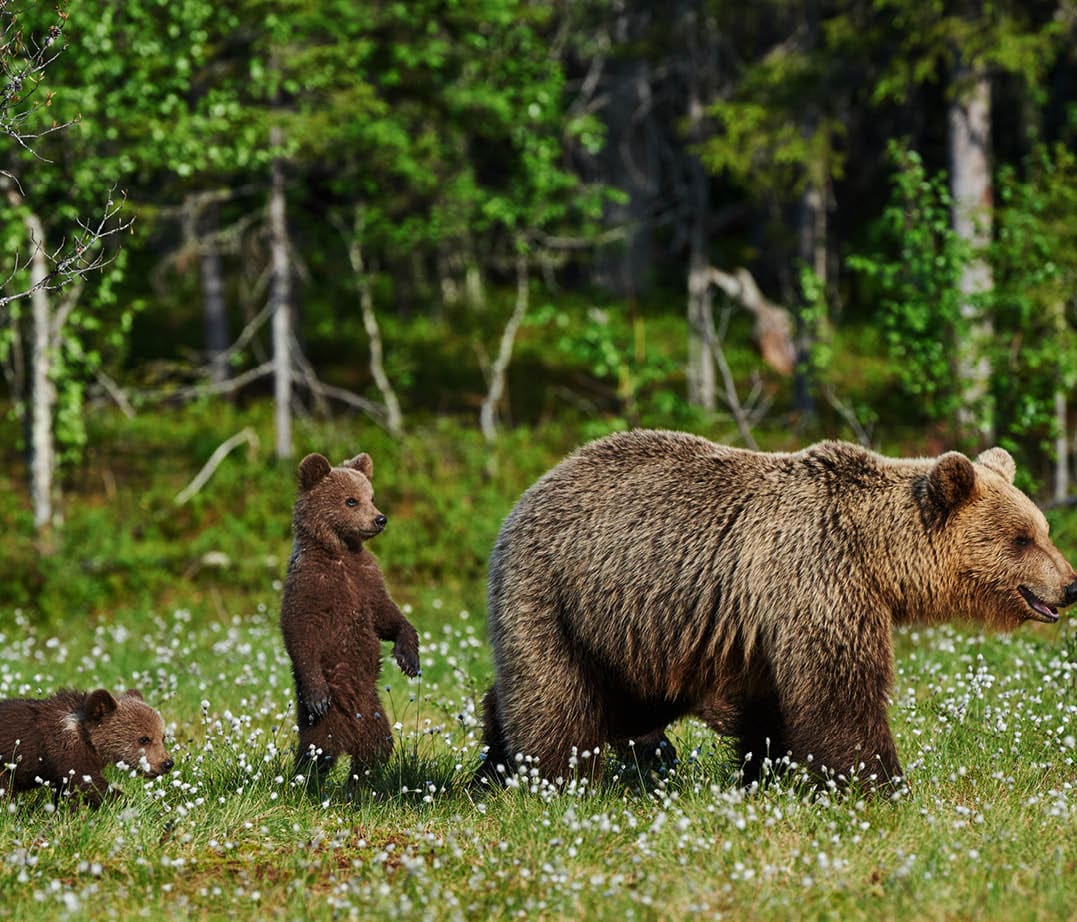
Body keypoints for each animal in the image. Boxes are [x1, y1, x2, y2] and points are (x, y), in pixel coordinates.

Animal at [281, 451, 420, 784]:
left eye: (372, 497)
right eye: (351, 501)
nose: (380, 519)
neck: (340, 552)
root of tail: (349, 736)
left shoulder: (366, 580)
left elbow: (386, 615)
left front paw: (409, 657)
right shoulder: (311, 584)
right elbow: (299, 630)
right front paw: (317, 692)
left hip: (374, 713)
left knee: (377, 749)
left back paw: (359, 783)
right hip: (326, 719)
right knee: (317, 751)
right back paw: (307, 782)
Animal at [480, 429, 1077, 789]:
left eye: (1044, 529)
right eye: (1022, 538)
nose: (1070, 585)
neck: (876, 556)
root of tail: (532, 489)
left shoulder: (763, 621)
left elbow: (770, 706)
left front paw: (767, 773)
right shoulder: (817, 578)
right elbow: (840, 694)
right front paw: (883, 786)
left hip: (632, 633)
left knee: (623, 702)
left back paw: (493, 760)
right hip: (556, 594)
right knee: (556, 697)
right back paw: (549, 777)